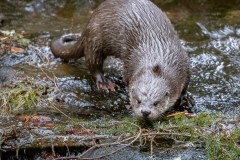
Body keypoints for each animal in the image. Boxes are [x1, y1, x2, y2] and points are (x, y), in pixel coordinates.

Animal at [50, 0, 189, 120]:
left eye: (156, 103)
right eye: (138, 100)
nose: (145, 112)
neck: (156, 57)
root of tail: (89, 22)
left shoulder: (184, 64)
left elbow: (185, 86)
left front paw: (183, 99)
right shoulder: (129, 64)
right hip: (95, 39)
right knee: (93, 63)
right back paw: (105, 83)